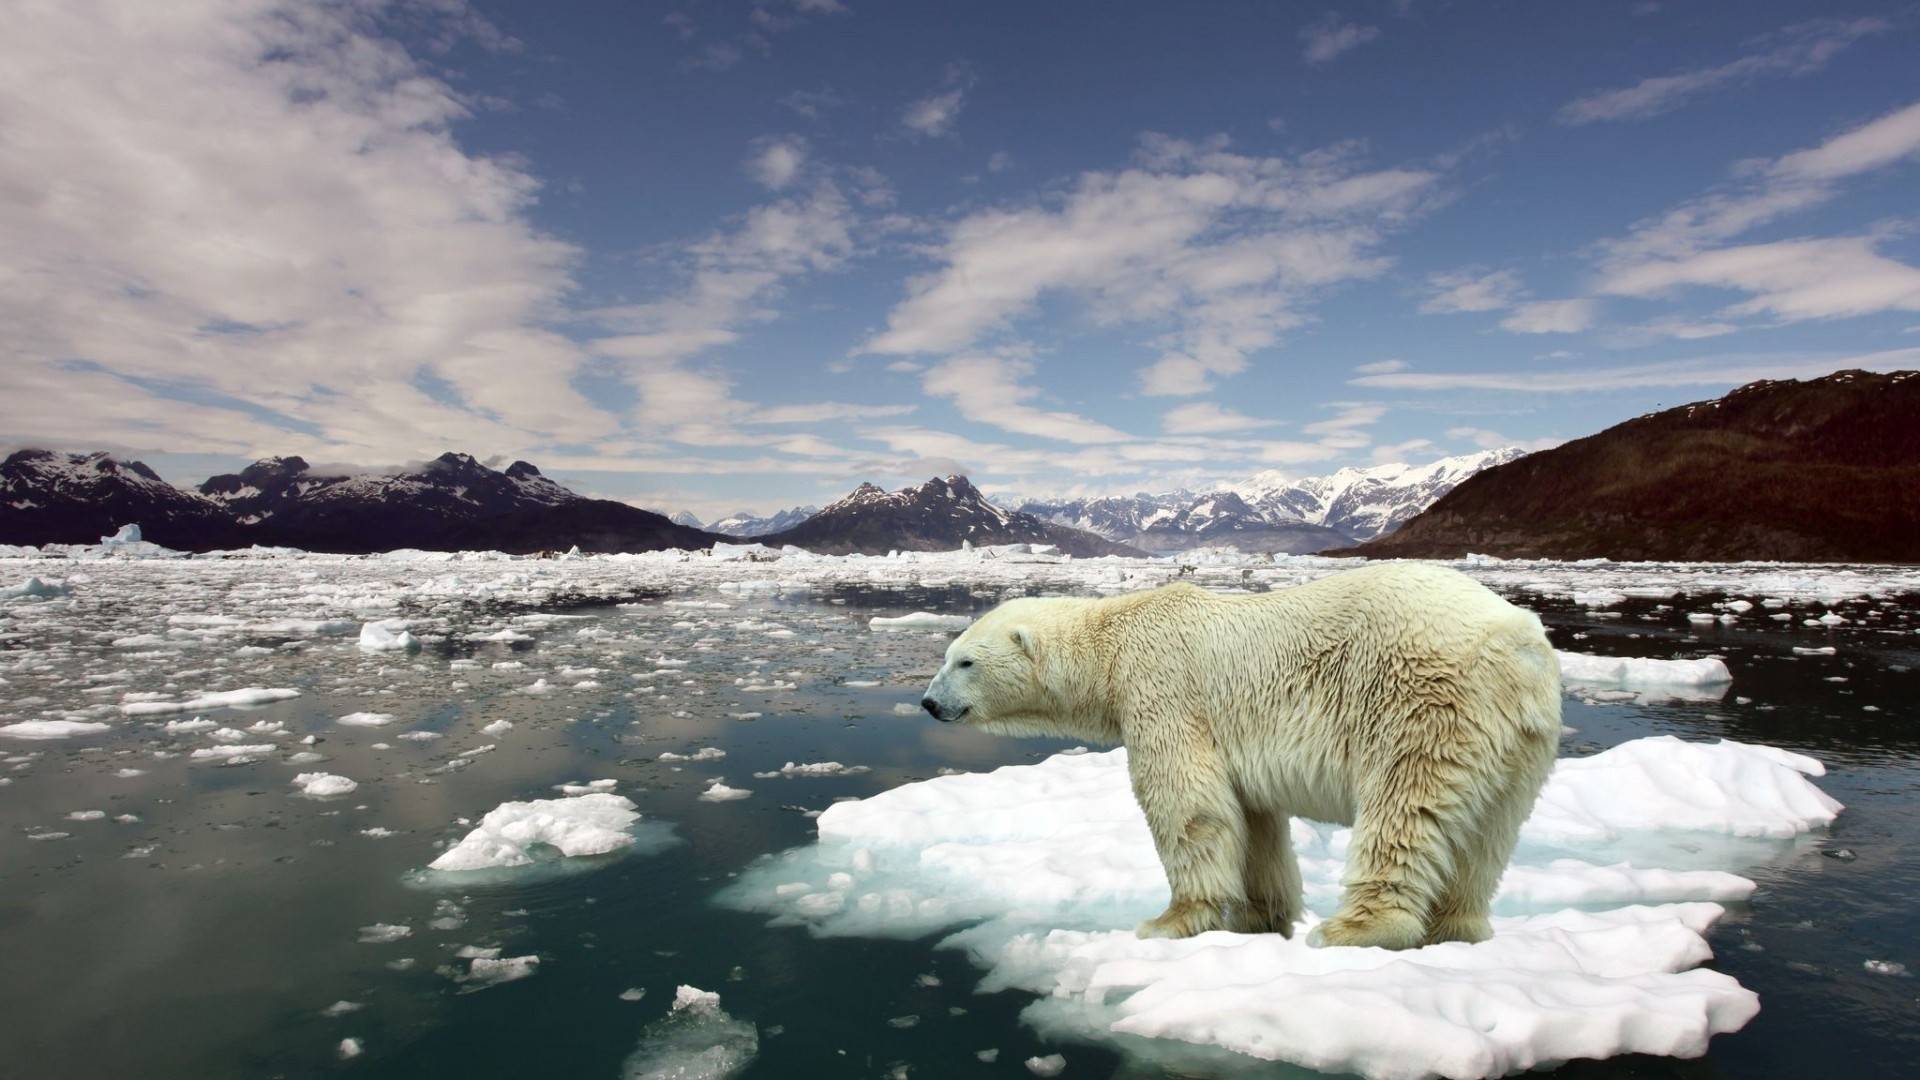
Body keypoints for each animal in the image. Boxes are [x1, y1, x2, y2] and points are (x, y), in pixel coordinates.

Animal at [913, 557, 1559, 945]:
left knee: (1404, 808)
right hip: (1518, 742)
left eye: (963, 662)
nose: (928, 703)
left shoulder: (1164, 689)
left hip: (1422, 701)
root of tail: (1517, 644)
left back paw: (1353, 929)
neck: (1114, 644)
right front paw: (1261, 917)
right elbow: (1254, 822)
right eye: (947, 656)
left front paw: (1169, 921)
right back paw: (1456, 929)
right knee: (1487, 835)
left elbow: (1188, 805)